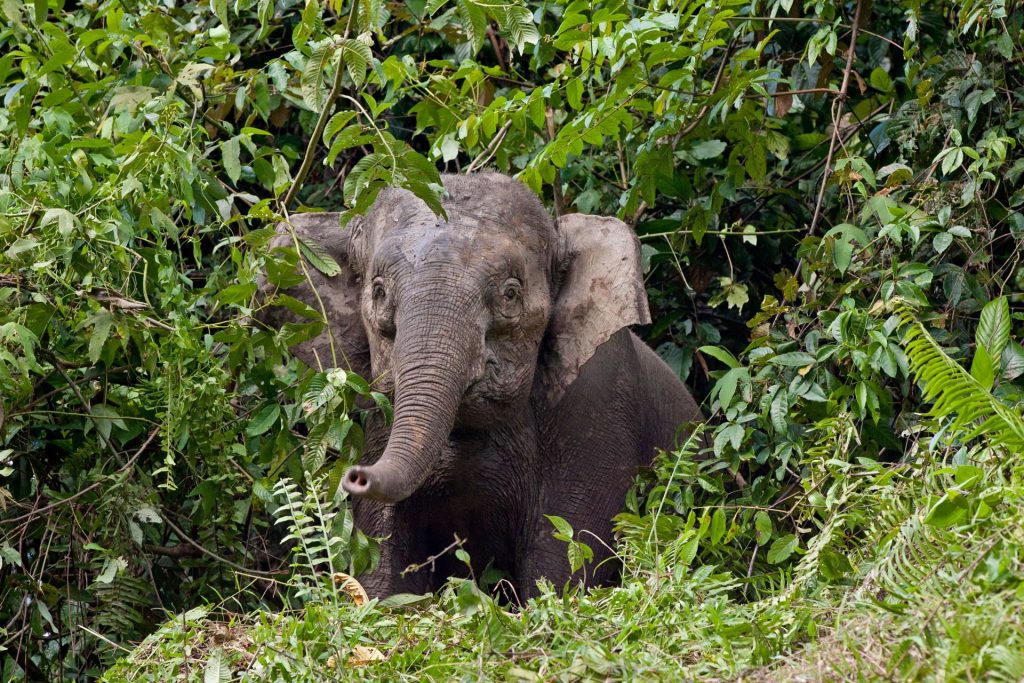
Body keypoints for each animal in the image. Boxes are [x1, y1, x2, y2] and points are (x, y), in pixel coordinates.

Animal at [260, 172, 702, 599]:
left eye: (510, 294)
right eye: (379, 292)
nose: (355, 476)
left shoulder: (600, 402)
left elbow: (566, 560)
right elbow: (386, 568)